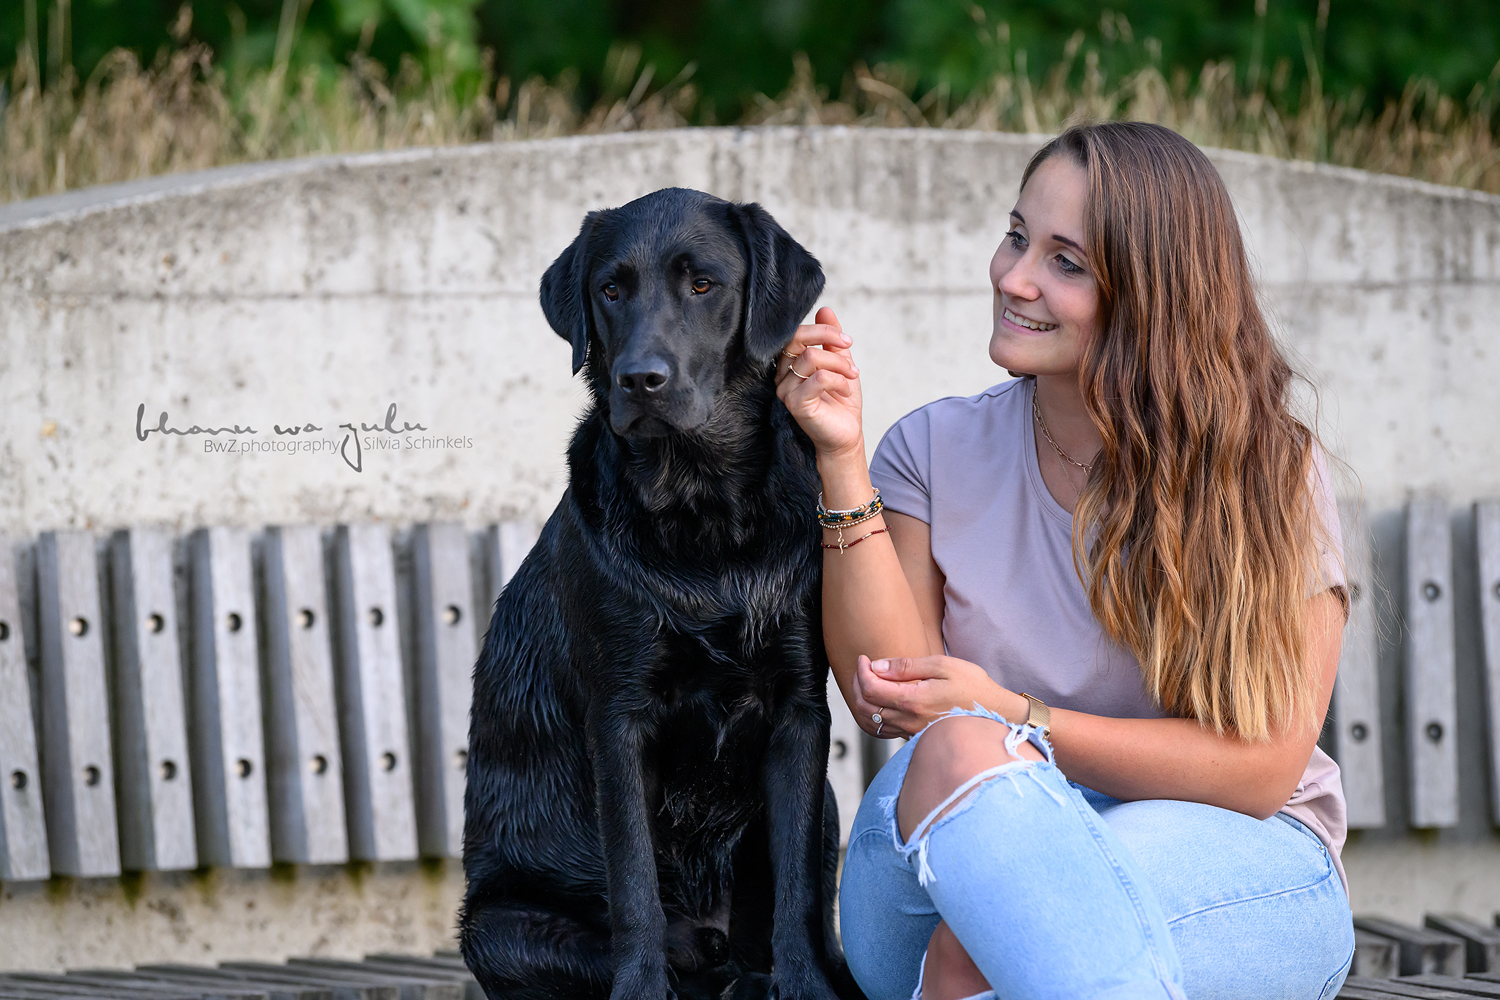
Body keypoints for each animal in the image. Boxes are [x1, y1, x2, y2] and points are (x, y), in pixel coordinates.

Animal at [456, 189, 864, 1000]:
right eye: (611, 290)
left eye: (702, 284)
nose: (641, 379)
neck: (702, 519)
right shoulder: (620, 719)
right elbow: (636, 886)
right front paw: (641, 988)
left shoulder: (800, 713)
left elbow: (797, 894)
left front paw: (803, 986)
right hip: (498, 929)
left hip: (833, 803)